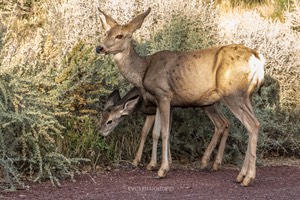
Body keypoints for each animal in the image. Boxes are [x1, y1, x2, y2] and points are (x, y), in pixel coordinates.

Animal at [96, 7, 264, 186]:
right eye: (106, 33)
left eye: (120, 35)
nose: (99, 48)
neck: (143, 71)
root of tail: (258, 59)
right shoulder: (160, 102)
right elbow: (156, 132)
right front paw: (153, 165)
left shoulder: (164, 95)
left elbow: (164, 132)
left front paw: (162, 169)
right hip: (246, 96)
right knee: (247, 124)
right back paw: (239, 174)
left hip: (233, 94)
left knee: (251, 124)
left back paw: (247, 177)